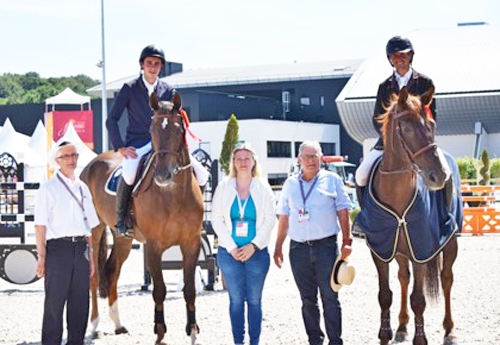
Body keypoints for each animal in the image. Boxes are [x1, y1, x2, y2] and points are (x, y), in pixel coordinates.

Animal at [79, 92, 203, 344]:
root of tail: (91, 164)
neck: (174, 194)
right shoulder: (154, 246)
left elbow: (189, 290)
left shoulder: (191, 243)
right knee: (95, 276)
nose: (163, 176)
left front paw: (194, 333)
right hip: (95, 231)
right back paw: (95, 326)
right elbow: (159, 290)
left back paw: (118, 324)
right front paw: (160, 334)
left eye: (178, 129)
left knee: (112, 271)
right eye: (152, 128)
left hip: (123, 239)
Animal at [358, 88, 458, 344]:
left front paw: (420, 338)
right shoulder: (381, 250)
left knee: (447, 279)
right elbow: (385, 295)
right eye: (407, 128)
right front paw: (385, 335)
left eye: (431, 124)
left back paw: (449, 330)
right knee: (403, 277)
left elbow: (419, 300)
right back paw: (402, 326)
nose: (438, 176)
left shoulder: (421, 249)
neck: (396, 193)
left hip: (450, 242)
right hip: (400, 251)